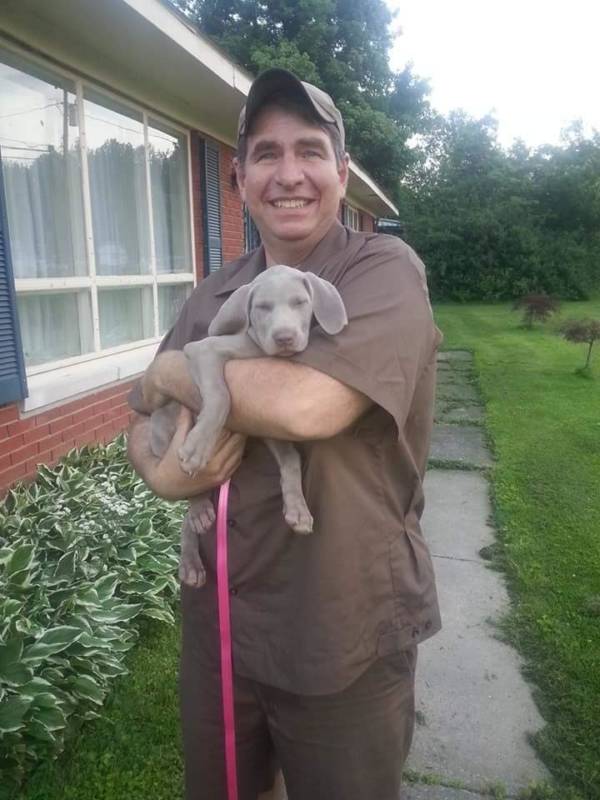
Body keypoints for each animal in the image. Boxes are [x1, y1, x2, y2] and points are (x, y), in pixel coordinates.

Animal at [148, 266, 350, 584]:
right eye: (262, 307)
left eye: (300, 302)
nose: (284, 337)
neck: (256, 346)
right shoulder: (203, 350)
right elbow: (221, 396)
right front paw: (198, 447)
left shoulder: (266, 424)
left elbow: (290, 458)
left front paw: (297, 508)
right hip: (159, 433)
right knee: (187, 504)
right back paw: (197, 519)